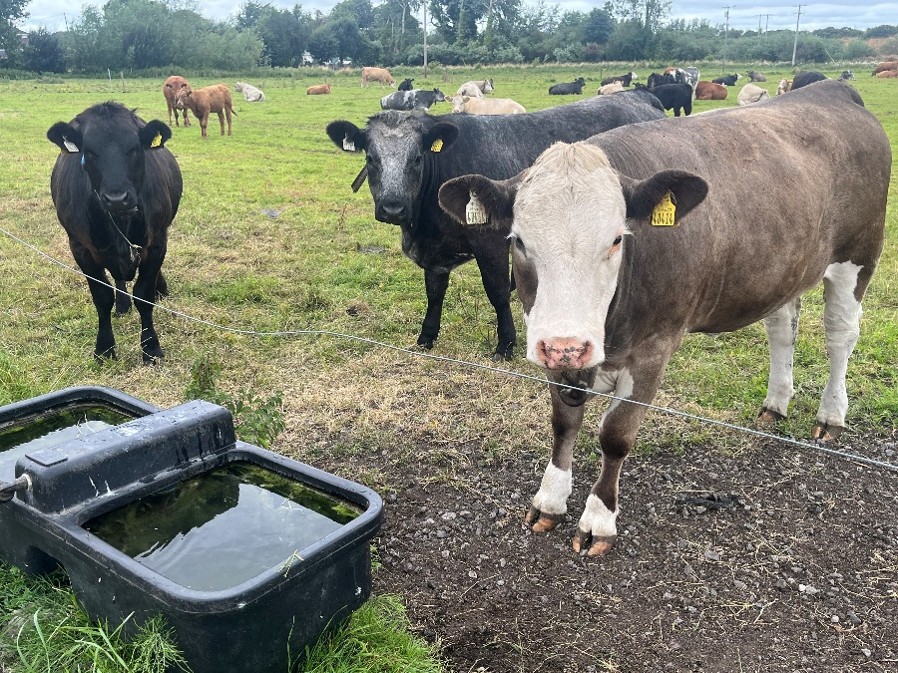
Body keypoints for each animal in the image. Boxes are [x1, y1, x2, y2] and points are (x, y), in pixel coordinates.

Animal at [47, 102, 183, 363]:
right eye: (89, 151)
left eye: (135, 148)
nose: (117, 198)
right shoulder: (80, 248)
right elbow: (102, 297)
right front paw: (104, 347)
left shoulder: (157, 241)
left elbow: (144, 294)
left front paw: (151, 348)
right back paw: (122, 304)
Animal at [325, 90, 667, 359]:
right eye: (370, 158)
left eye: (417, 158)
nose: (393, 208)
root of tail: (640, 97)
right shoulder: (434, 250)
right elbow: (434, 291)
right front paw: (427, 336)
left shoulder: (491, 241)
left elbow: (498, 291)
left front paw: (506, 344)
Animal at [437, 80, 889, 557]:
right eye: (519, 240)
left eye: (617, 239)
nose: (567, 345)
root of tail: (833, 90)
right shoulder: (555, 346)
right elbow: (563, 422)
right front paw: (550, 500)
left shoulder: (654, 348)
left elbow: (615, 434)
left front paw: (598, 519)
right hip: (785, 266)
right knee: (782, 328)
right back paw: (775, 404)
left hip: (859, 254)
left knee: (840, 335)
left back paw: (831, 415)